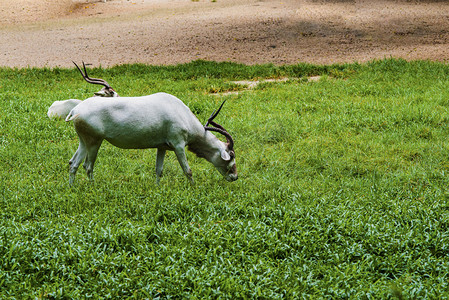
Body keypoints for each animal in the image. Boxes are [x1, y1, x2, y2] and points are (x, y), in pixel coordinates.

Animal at [65, 92, 238, 184]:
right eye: (231, 157)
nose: (235, 177)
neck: (181, 112)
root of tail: (75, 110)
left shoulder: (162, 147)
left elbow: (159, 170)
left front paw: (157, 187)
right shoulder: (178, 145)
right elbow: (187, 170)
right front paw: (194, 188)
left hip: (84, 142)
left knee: (74, 163)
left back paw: (72, 187)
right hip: (95, 142)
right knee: (88, 166)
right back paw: (92, 186)